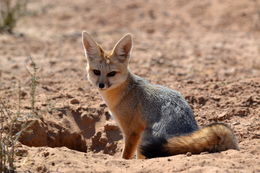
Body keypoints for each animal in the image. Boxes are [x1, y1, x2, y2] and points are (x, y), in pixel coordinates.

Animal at [81, 31, 238, 159]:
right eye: (96, 72)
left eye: (111, 74)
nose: (101, 85)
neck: (125, 92)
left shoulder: (132, 131)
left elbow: (126, 156)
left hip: (145, 138)